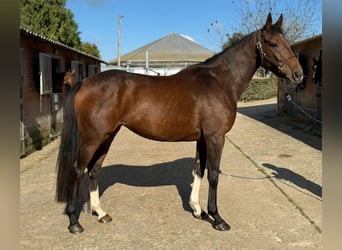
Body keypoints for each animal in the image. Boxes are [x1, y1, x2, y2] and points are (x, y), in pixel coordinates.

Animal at [56, 13, 304, 233]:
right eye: (273, 43)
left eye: (287, 42)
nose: (298, 75)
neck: (219, 81)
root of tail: (85, 82)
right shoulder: (215, 138)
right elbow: (213, 175)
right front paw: (217, 218)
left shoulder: (203, 139)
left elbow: (199, 171)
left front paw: (198, 210)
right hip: (93, 138)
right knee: (78, 170)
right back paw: (74, 222)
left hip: (107, 136)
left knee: (94, 170)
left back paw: (100, 213)